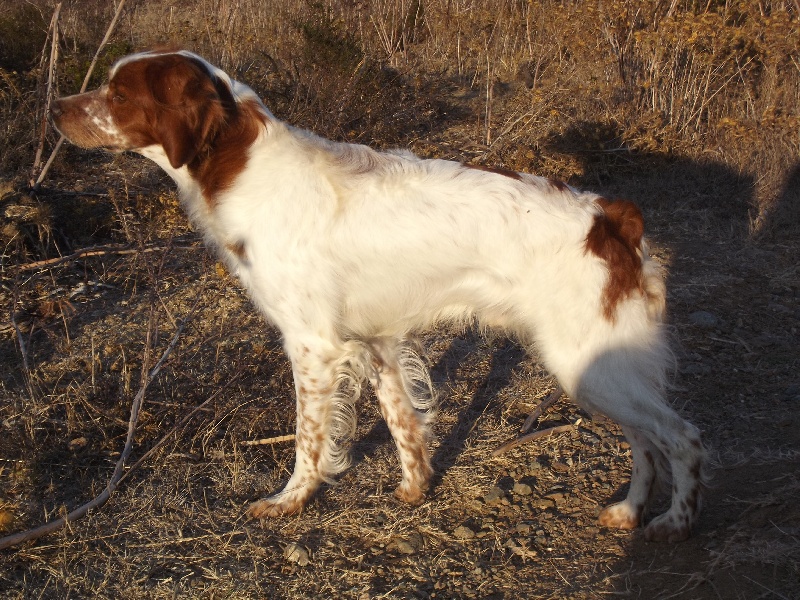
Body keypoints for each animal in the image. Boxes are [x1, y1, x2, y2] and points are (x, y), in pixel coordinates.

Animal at [51, 49, 708, 540]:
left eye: (118, 93)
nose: (54, 108)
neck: (243, 169)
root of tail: (610, 217)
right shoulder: (376, 341)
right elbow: (402, 423)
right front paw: (415, 489)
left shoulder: (312, 345)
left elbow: (309, 441)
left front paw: (290, 500)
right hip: (597, 366)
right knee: (645, 441)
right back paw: (628, 512)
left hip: (585, 362)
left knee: (681, 437)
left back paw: (675, 521)